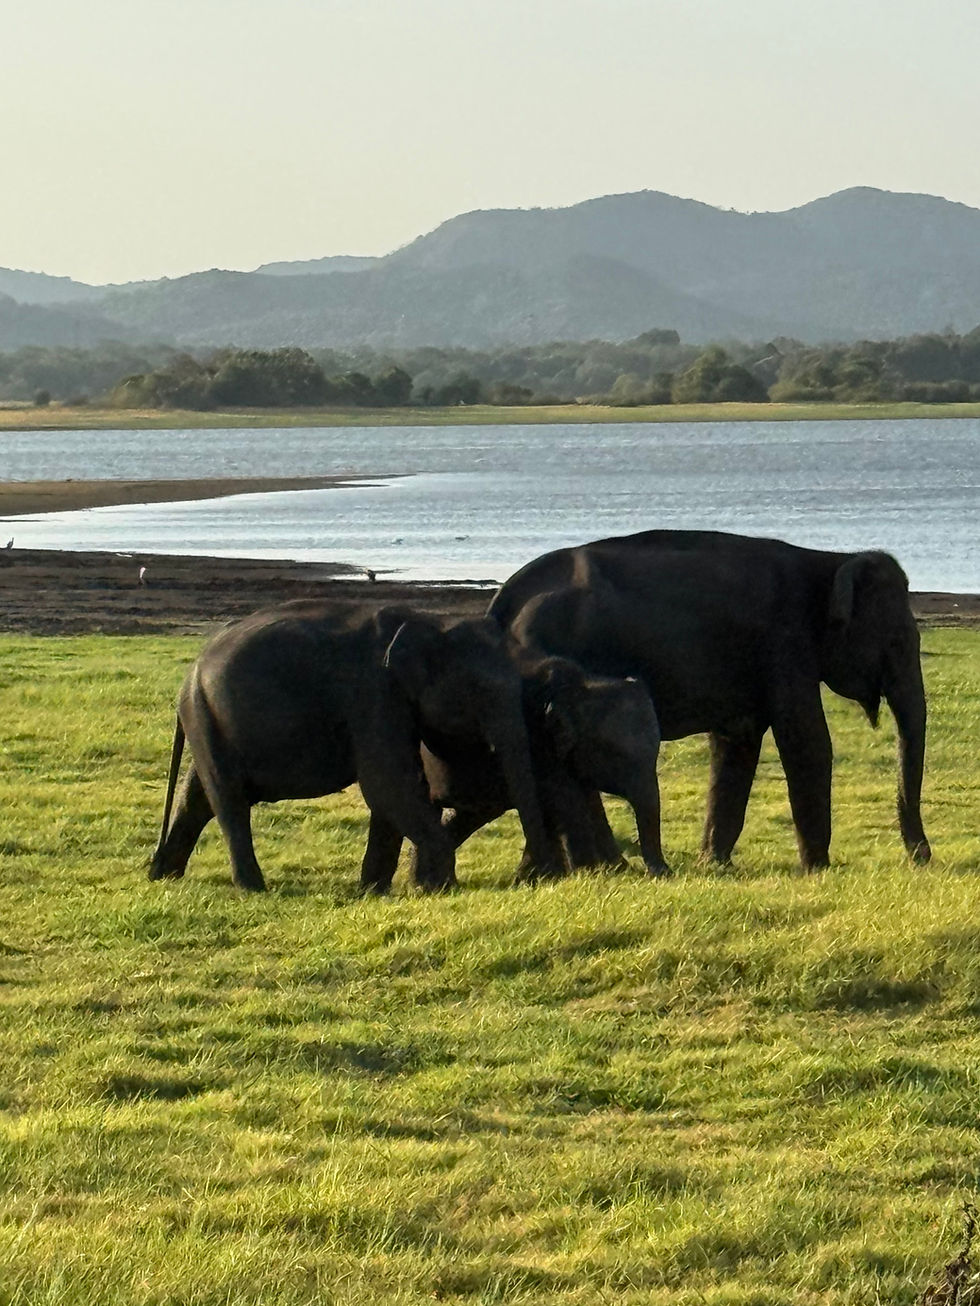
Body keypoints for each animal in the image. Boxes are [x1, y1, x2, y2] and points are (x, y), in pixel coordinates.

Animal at [149, 601, 558, 892]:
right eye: (479, 691)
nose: (539, 878)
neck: (427, 621)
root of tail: (190, 674)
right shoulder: (371, 693)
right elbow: (386, 782)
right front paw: (441, 888)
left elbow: (394, 791)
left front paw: (374, 891)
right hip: (207, 714)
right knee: (229, 800)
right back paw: (253, 889)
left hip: (209, 718)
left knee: (197, 795)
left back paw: (165, 876)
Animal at [359, 654, 668, 893]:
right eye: (615, 756)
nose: (662, 873)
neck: (580, 683)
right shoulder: (536, 741)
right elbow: (565, 802)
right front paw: (585, 874)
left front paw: (537, 878)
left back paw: (428, 885)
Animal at [487, 529, 930, 871]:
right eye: (897, 642)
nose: (922, 858)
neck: (828, 561)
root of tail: (502, 604)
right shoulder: (785, 645)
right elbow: (806, 742)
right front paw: (818, 870)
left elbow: (737, 745)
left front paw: (715, 865)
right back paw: (601, 869)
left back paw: (542, 873)